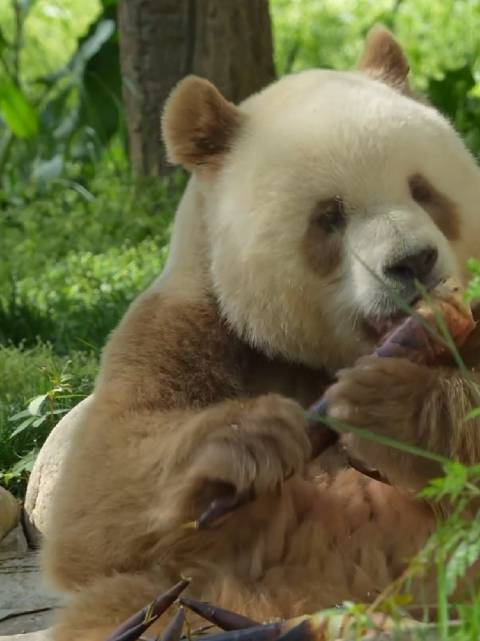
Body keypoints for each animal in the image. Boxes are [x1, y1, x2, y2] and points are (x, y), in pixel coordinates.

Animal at [41, 26, 480, 641]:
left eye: (423, 190)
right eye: (329, 216)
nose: (413, 262)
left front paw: (388, 407)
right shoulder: (193, 324)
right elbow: (95, 499)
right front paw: (252, 436)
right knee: (124, 603)